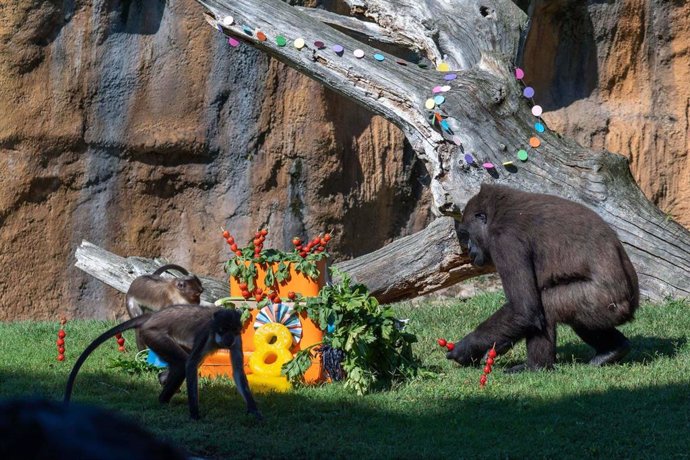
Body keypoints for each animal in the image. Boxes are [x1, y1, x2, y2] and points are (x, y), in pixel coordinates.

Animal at [64, 306, 260, 420]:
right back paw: (163, 400)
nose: (228, 339)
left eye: (233, 330)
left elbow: (237, 371)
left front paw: (253, 410)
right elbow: (190, 365)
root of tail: (152, 316)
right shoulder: (206, 334)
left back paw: (163, 379)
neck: (217, 338)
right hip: (152, 334)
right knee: (182, 363)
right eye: (222, 329)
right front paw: (194, 414)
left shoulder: (237, 339)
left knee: (179, 364)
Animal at [446, 182, 640, 370]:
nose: (469, 249)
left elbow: (524, 310)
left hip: (604, 303)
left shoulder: (505, 240)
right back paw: (613, 350)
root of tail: (632, 306)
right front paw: (498, 346)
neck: (497, 213)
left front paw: (466, 348)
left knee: (547, 305)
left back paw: (536, 366)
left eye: (467, 235)